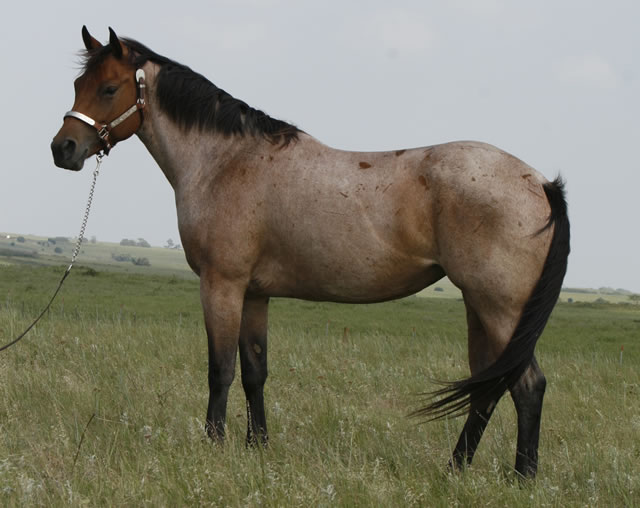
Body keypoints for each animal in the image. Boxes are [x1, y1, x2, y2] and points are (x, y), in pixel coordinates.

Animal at [51, 26, 569, 478]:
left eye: (109, 88)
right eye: (78, 84)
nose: (63, 149)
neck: (226, 162)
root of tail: (539, 183)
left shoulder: (222, 284)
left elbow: (220, 369)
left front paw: (213, 446)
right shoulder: (254, 293)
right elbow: (254, 371)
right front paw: (257, 446)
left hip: (500, 309)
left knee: (526, 386)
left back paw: (522, 478)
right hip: (478, 307)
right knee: (487, 388)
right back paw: (455, 470)